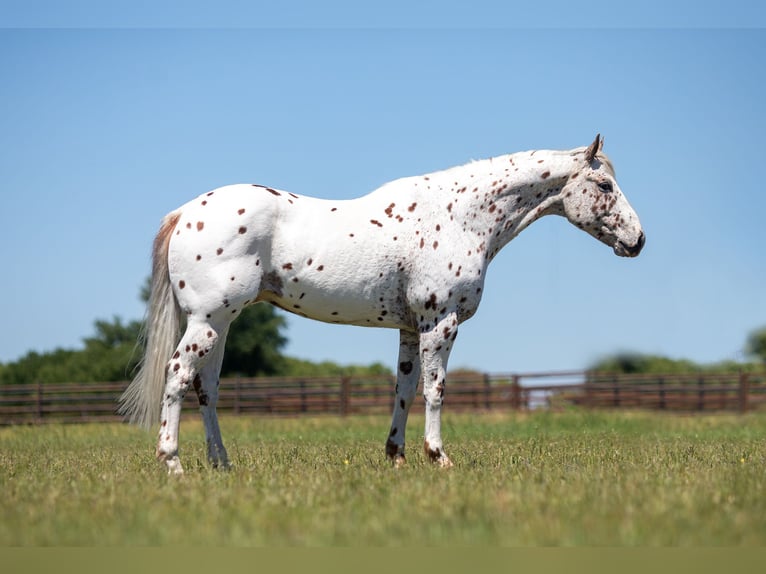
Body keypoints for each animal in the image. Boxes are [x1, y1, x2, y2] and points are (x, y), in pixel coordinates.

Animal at [120, 133, 648, 474]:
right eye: (604, 186)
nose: (638, 240)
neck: (460, 217)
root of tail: (185, 212)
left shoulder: (411, 329)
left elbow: (405, 390)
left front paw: (396, 456)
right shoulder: (440, 323)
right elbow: (435, 390)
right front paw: (438, 457)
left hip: (221, 323)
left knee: (206, 388)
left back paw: (222, 464)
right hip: (208, 320)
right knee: (177, 375)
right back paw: (172, 463)